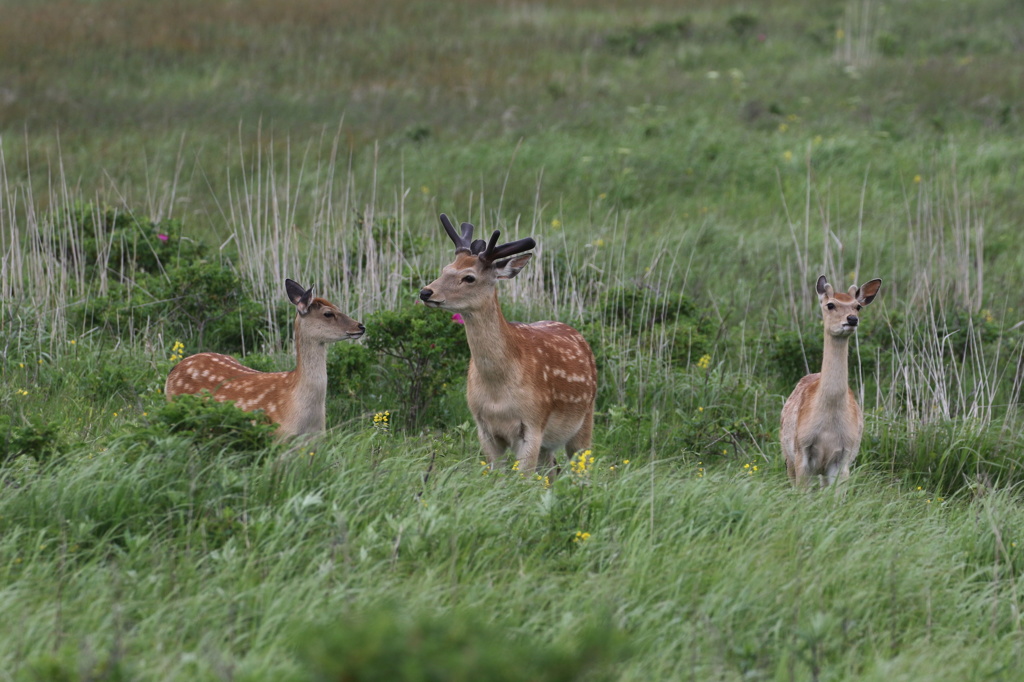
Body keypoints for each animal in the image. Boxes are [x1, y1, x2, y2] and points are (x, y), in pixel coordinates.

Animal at [417, 212, 598, 473]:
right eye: (446, 268)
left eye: (469, 277)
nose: (425, 292)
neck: (497, 393)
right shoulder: (483, 428)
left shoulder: (533, 423)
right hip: (549, 444)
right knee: (552, 470)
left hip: (585, 420)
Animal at [782, 274, 880, 485]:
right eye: (830, 304)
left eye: (857, 306)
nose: (852, 319)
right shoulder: (802, 451)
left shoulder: (844, 457)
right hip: (787, 455)